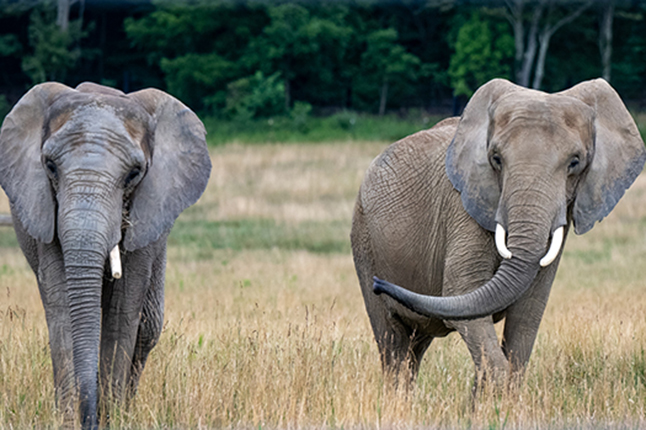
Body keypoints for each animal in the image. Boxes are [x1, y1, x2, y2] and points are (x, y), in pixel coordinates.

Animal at [0, 82, 213, 428]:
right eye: (50, 166)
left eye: (134, 174)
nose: (91, 421)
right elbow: (62, 310)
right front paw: (67, 420)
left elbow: (121, 310)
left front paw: (113, 420)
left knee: (148, 327)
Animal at [352, 79, 646, 388]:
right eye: (496, 159)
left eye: (575, 162)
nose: (378, 283)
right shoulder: (465, 204)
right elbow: (463, 291)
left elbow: (527, 312)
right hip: (364, 236)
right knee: (393, 343)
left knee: (415, 345)